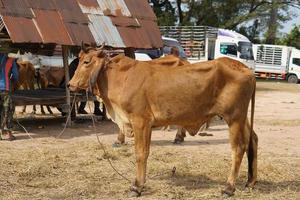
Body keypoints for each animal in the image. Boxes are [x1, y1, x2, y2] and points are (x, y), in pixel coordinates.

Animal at [68, 47, 258, 198]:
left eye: (86, 62)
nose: (70, 84)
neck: (121, 77)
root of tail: (245, 69)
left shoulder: (140, 121)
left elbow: (141, 153)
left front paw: (136, 187)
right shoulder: (146, 125)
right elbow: (145, 152)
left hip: (234, 118)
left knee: (238, 148)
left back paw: (229, 188)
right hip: (242, 119)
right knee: (253, 140)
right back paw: (250, 181)